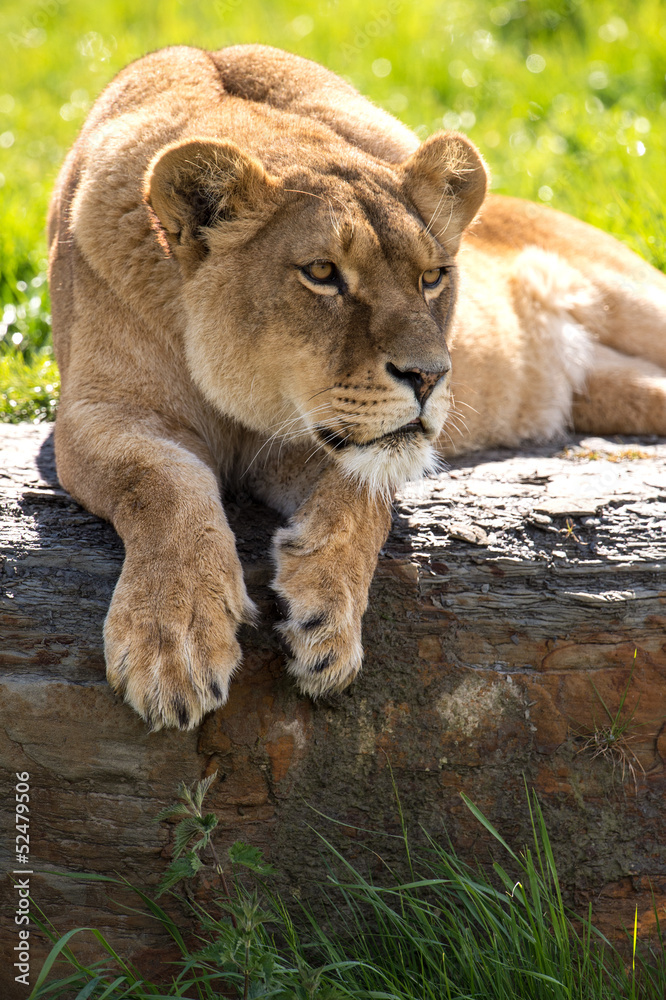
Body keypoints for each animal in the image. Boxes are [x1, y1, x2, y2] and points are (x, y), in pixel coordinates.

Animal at [48, 44, 666, 730]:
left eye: (433, 276)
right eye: (322, 272)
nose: (431, 376)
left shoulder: (328, 440)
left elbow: (364, 496)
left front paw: (325, 617)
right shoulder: (98, 413)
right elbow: (159, 480)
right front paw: (174, 636)